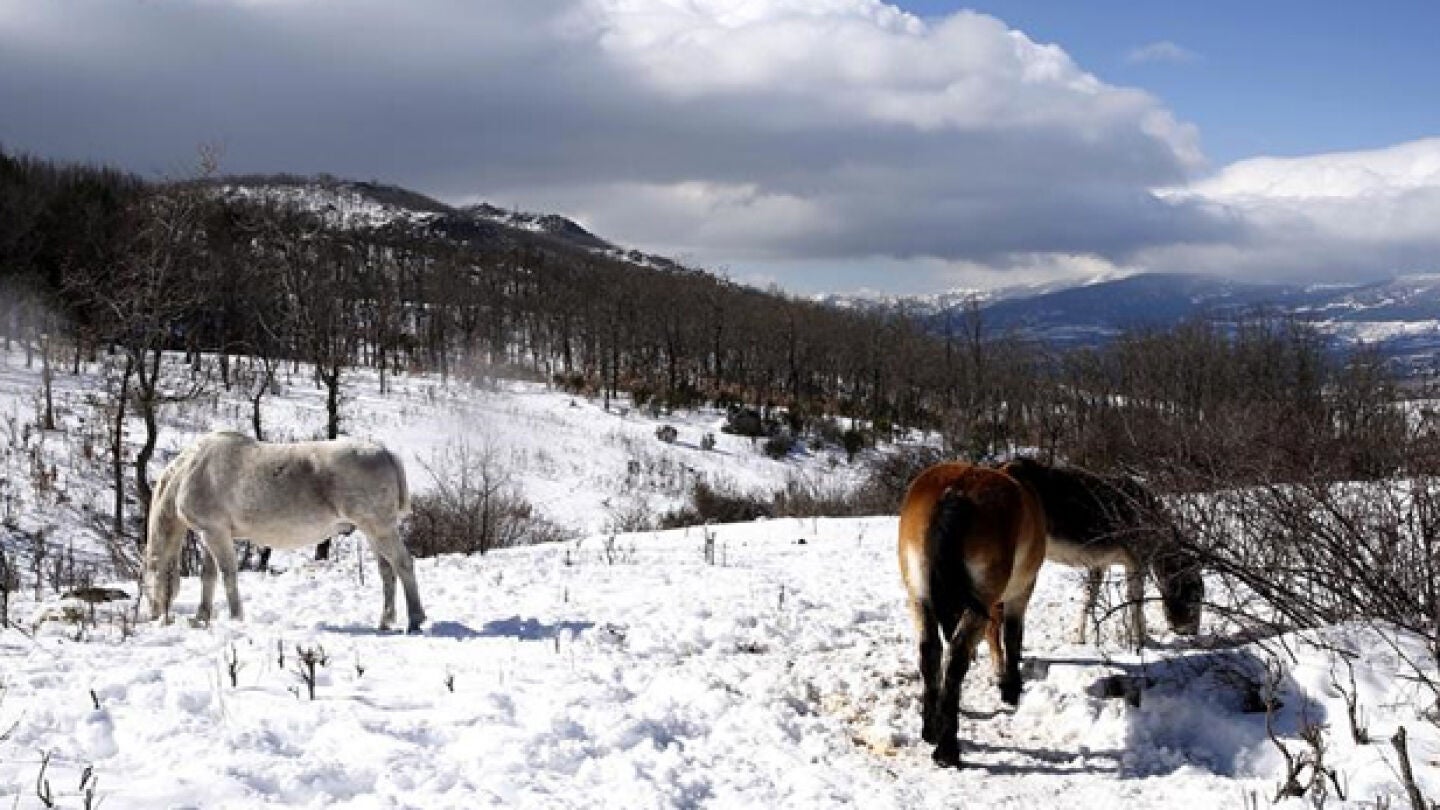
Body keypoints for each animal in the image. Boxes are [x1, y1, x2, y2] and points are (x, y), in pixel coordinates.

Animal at [143, 431, 426, 633]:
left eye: (146, 585)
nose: (155, 616)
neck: (189, 472)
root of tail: (385, 452)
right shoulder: (211, 534)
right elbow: (209, 577)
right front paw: (201, 618)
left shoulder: (214, 533)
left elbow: (228, 575)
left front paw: (235, 618)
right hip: (372, 532)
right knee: (387, 571)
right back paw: (385, 622)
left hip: (379, 528)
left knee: (403, 564)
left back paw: (415, 620)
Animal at [897, 462, 1047, 768]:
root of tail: (955, 489)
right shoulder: (1020, 592)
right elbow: (1012, 637)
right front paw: (1011, 689)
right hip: (982, 598)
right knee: (957, 656)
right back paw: (947, 750)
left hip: (919, 596)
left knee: (930, 652)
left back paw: (931, 729)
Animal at [999, 457, 1202, 645]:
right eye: (1195, 595)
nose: (1193, 632)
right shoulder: (1138, 560)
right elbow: (1136, 602)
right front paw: (1141, 641)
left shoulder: (1099, 564)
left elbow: (1089, 600)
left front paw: (1079, 638)